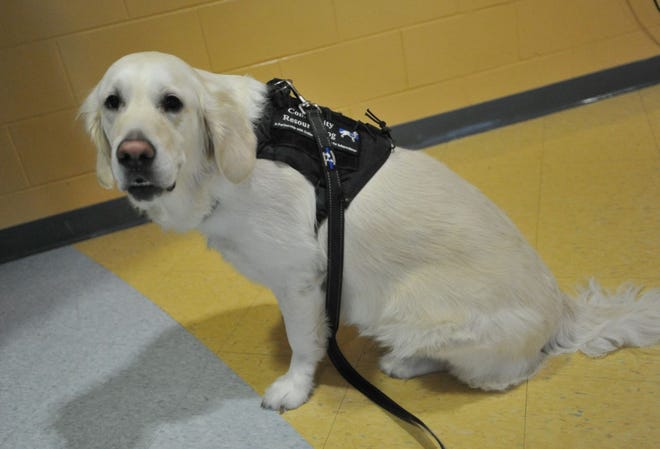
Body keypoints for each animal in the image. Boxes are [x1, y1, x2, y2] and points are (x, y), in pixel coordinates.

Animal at [81, 50, 660, 412]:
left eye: (172, 103)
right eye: (113, 102)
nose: (133, 155)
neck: (236, 156)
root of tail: (564, 310)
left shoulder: (300, 278)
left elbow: (302, 341)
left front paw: (295, 388)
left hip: (411, 311)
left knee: (513, 372)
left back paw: (412, 362)